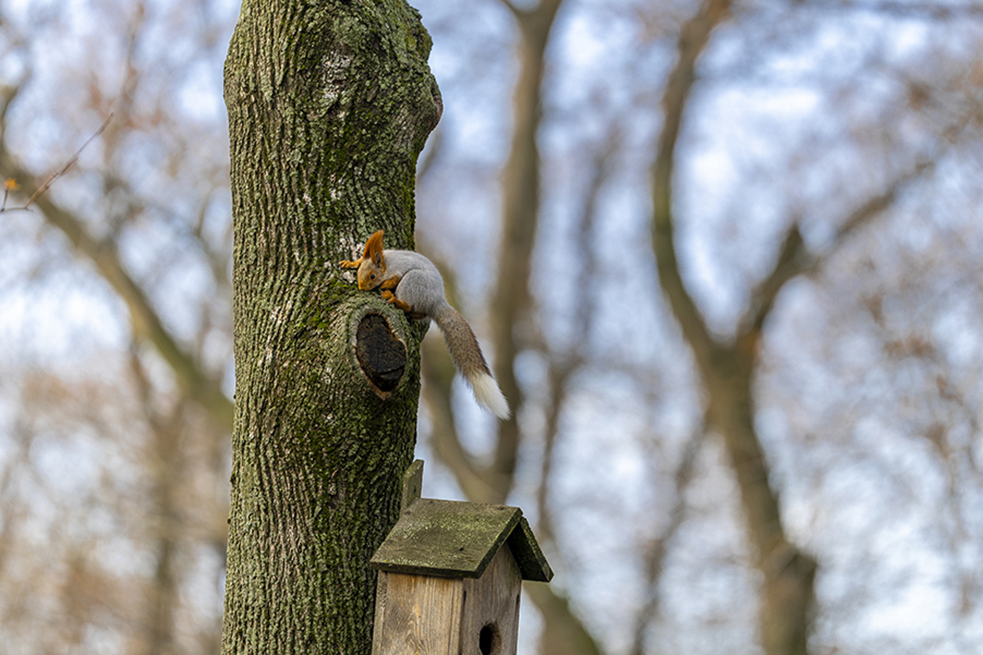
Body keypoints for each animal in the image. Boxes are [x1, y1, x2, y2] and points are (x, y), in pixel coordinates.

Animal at [339, 230, 510, 419]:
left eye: (372, 276)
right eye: (359, 273)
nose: (362, 288)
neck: (386, 262)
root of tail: (436, 301)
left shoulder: (399, 269)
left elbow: (393, 279)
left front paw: (384, 284)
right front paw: (351, 262)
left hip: (412, 282)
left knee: (410, 304)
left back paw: (396, 300)